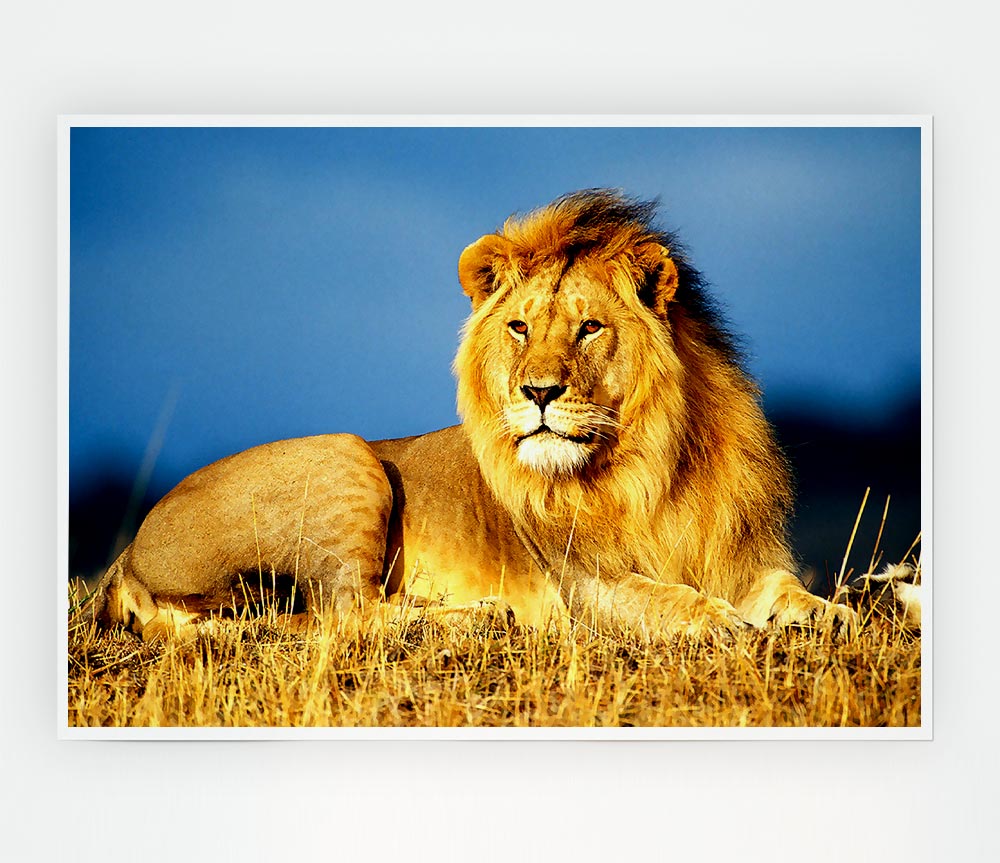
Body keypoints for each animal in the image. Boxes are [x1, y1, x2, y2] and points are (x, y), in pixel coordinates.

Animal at [89, 189, 856, 641]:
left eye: (589, 328)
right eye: (519, 327)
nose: (538, 392)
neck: (654, 465)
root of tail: (127, 556)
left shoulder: (739, 554)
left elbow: (787, 587)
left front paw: (832, 615)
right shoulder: (585, 586)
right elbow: (669, 600)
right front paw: (725, 624)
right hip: (346, 454)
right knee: (346, 614)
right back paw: (483, 616)